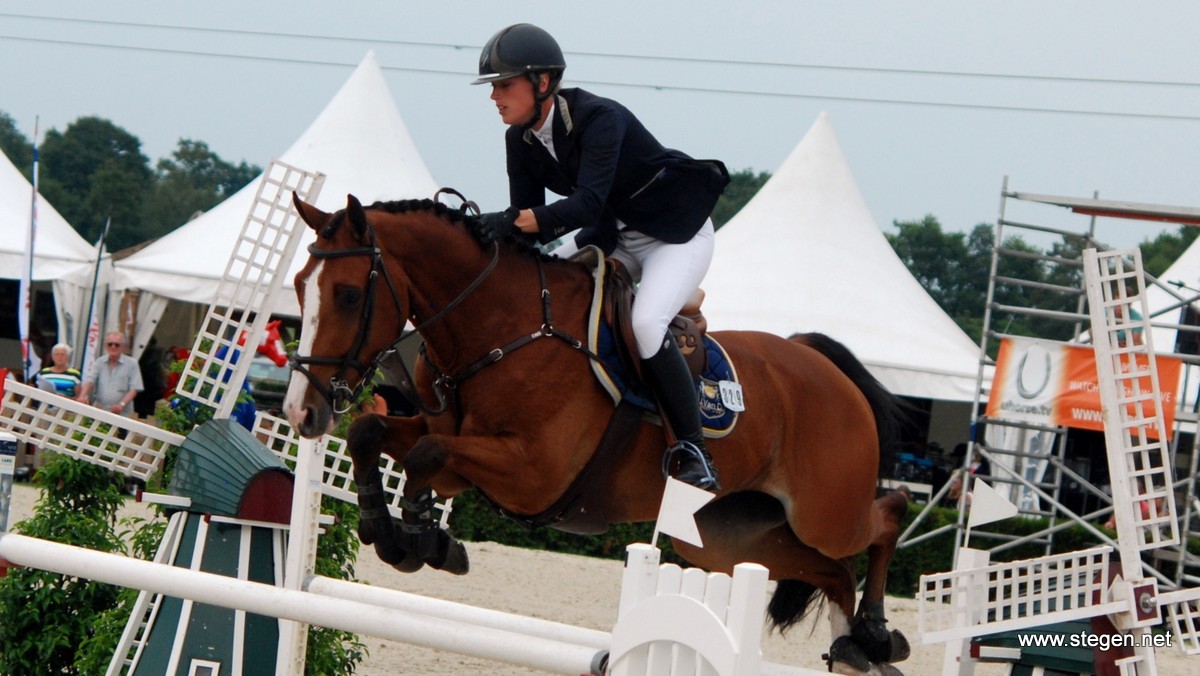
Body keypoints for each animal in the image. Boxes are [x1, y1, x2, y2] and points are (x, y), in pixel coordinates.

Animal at [285, 193, 912, 672]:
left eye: (348, 294)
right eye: (297, 286)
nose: (301, 413)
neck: (498, 328)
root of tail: (821, 362)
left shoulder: (531, 473)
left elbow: (426, 454)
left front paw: (420, 540)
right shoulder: (447, 434)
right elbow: (372, 432)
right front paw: (390, 530)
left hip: (824, 513)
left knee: (888, 513)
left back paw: (877, 630)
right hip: (726, 538)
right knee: (834, 571)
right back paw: (855, 646)